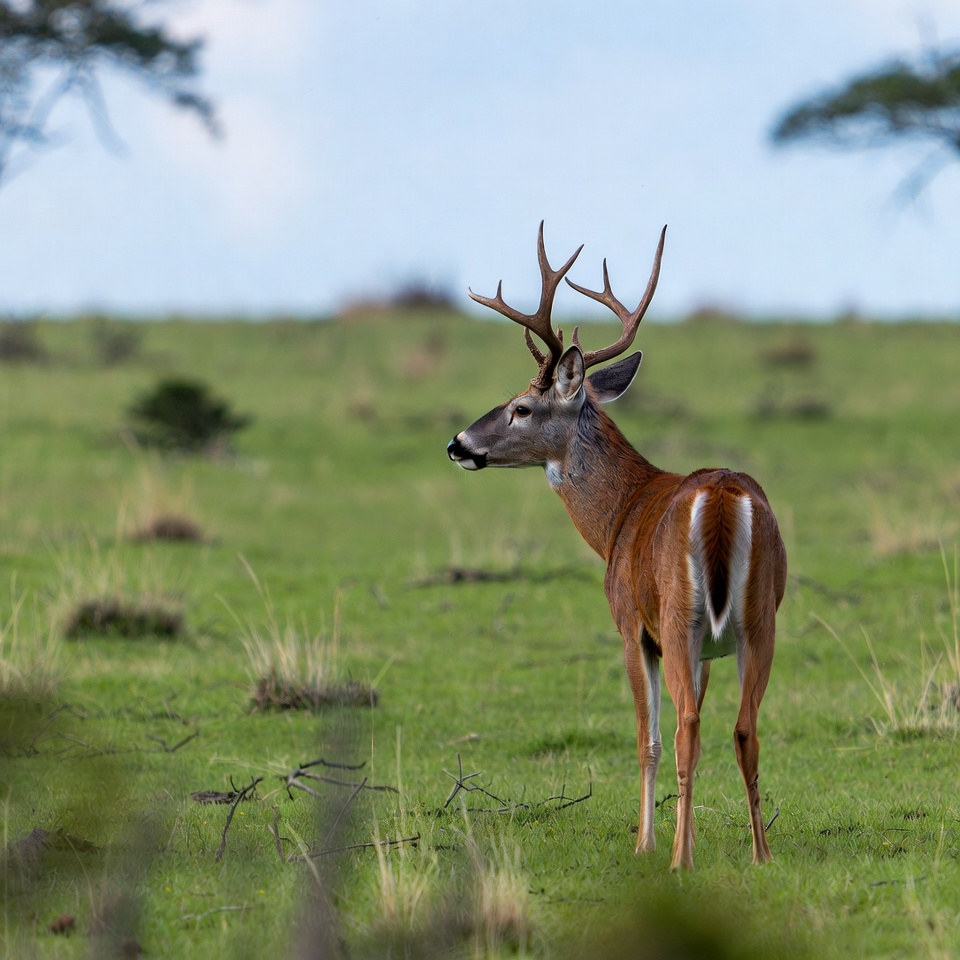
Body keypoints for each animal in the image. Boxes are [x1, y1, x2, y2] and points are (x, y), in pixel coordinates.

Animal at [447, 223, 787, 870]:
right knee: (743, 728)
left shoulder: (632, 625)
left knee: (683, 727)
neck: (618, 519)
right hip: (759, 619)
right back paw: (760, 855)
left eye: (521, 406)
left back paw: (677, 860)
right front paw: (687, 836)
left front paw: (647, 843)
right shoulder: (710, 650)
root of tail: (723, 496)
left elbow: (645, 738)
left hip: (679, 617)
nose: (457, 444)